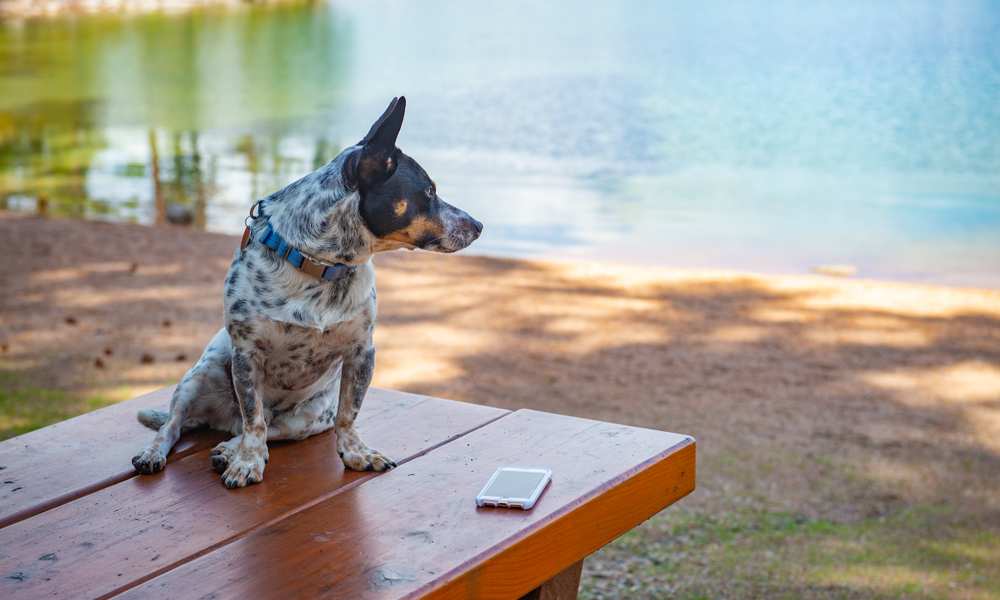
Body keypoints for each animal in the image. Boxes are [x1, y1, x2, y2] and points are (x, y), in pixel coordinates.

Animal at [131, 95, 482, 488]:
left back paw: (225, 448)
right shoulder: (246, 356)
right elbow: (253, 417)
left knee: (266, 429)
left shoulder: (362, 352)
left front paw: (356, 453)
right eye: (429, 192)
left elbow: (347, 415)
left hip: (307, 419)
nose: (479, 225)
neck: (322, 266)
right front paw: (247, 463)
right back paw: (159, 452)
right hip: (199, 377)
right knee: (180, 426)